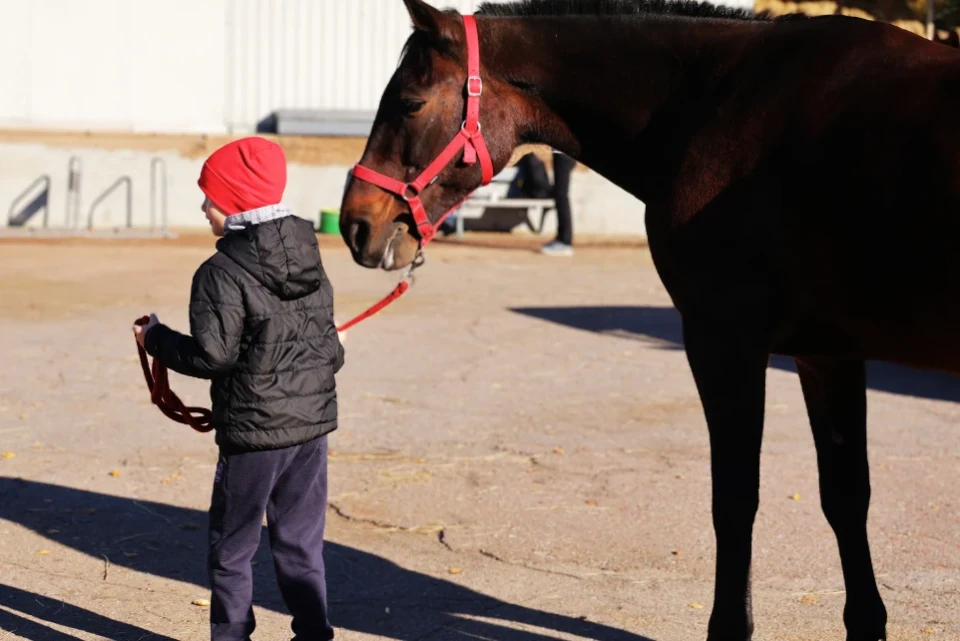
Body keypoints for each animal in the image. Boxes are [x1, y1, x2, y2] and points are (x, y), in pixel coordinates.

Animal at [340, 2, 960, 636]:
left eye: (410, 103)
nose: (356, 224)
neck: (718, 104)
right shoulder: (827, 354)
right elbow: (845, 495)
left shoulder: (723, 341)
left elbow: (735, 498)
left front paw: (728, 626)